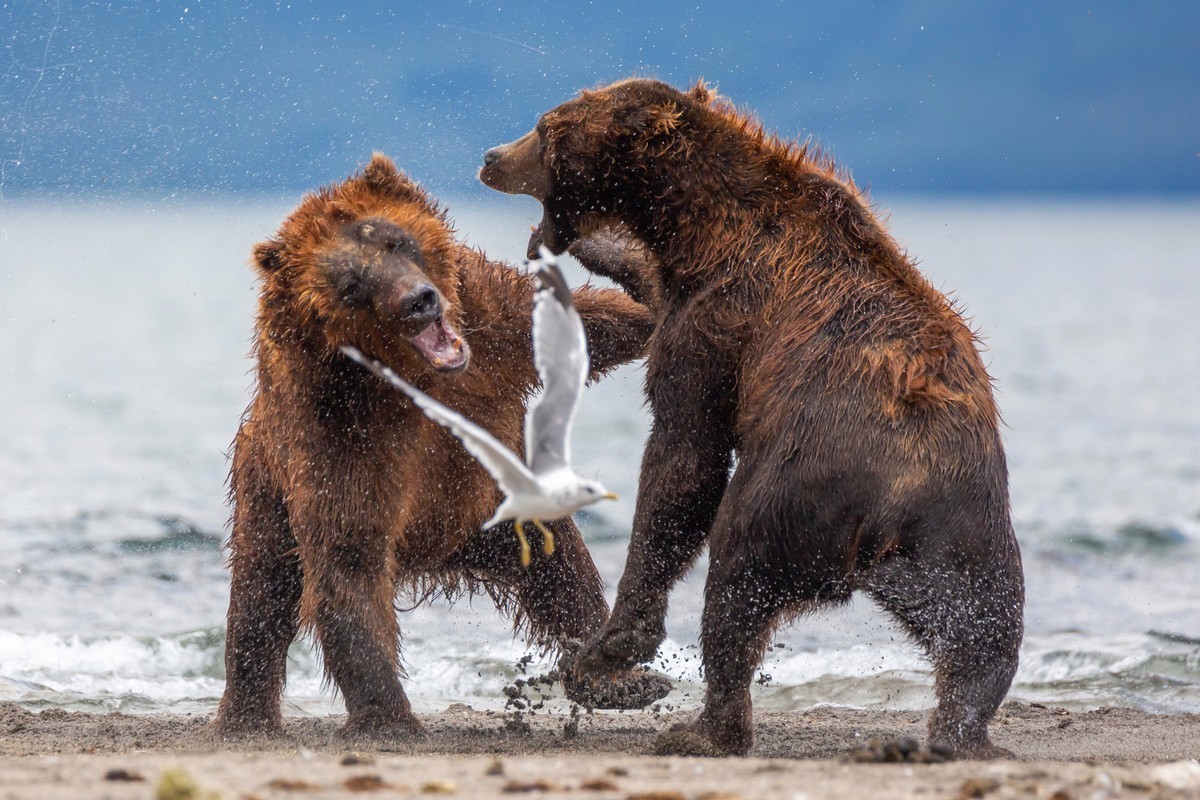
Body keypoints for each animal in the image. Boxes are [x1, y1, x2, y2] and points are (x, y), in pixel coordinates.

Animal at [211, 149, 672, 738]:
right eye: (351, 285)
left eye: (395, 240)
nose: (419, 301)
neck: (415, 376)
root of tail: (440, 550)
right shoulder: (340, 428)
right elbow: (348, 557)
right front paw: (388, 716)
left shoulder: (495, 327)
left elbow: (599, 324)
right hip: (266, 481)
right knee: (261, 590)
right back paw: (246, 717)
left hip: (498, 513)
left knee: (560, 572)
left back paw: (617, 677)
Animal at [482, 79, 1027, 758]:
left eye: (543, 128)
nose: (492, 156)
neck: (695, 220)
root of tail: (892, 507)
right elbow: (649, 284)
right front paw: (597, 245)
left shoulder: (720, 317)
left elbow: (685, 455)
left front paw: (616, 639)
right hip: (967, 530)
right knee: (983, 630)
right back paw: (963, 731)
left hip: (793, 490)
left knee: (735, 578)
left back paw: (704, 729)